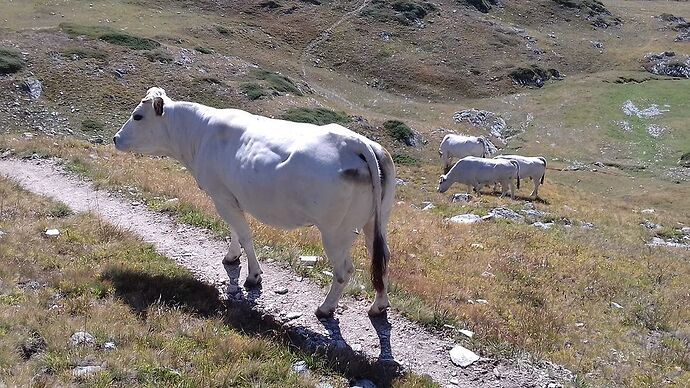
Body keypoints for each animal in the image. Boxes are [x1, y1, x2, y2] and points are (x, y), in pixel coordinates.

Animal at [111, 86, 396, 316]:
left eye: (137, 116)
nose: (115, 138)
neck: (198, 134)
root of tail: (355, 142)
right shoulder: (229, 196)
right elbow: (235, 230)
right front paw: (231, 256)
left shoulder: (221, 195)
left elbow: (245, 234)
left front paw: (253, 276)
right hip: (375, 221)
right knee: (381, 257)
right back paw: (378, 306)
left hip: (335, 231)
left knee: (344, 271)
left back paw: (325, 309)